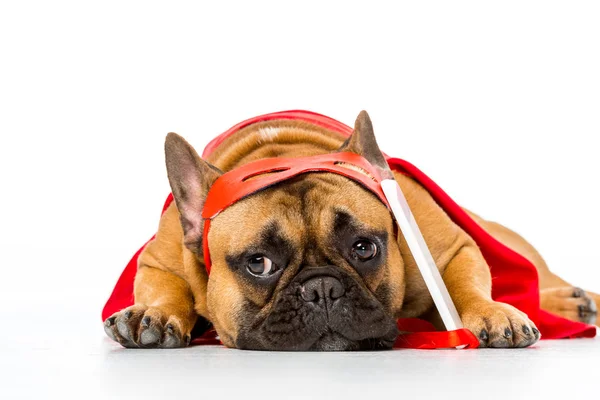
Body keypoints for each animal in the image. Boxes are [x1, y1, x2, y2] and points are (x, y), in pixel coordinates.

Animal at [104, 111, 600, 348]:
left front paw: (491, 313)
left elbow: (467, 284)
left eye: (364, 248)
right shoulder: (162, 258)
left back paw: (573, 302)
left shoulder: (450, 247)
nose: (322, 288)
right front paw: (154, 316)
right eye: (258, 263)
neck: (286, 152)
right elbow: (167, 287)